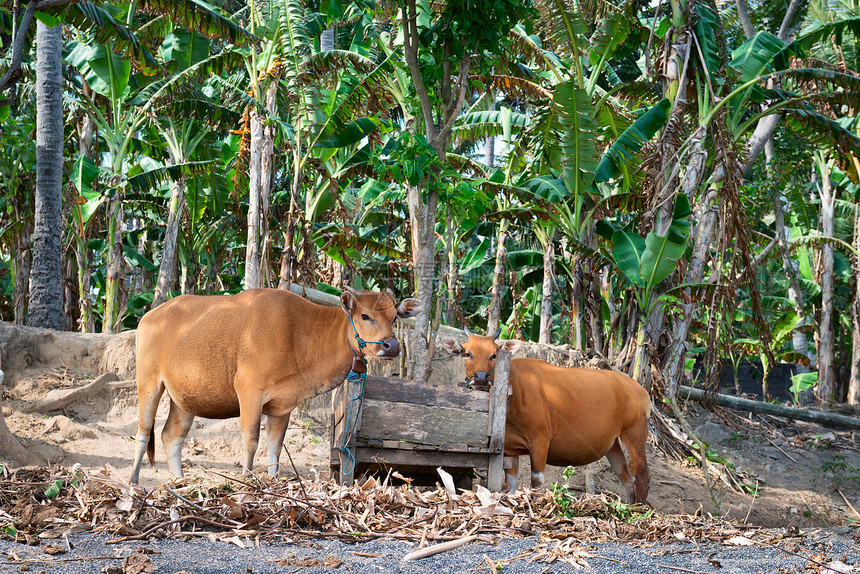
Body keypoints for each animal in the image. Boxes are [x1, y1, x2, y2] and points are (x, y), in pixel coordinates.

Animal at [130, 288, 420, 486]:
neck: (300, 334)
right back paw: (133, 482)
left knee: (171, 437)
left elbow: (275, 448)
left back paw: (180, 483)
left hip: (185, 398)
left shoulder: (282, 406)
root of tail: (148, 317)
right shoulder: (249, 392)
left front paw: (274, 482)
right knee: (144, 432)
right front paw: (247, 481)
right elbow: (251, 441)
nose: (392, 346)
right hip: (148, 382)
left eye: (394, 317)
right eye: (365, 315)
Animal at [444, 330, 652, 506]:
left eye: (493, 355)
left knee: (641, 475)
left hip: (634, 433)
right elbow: (510, 483)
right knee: (627, 478)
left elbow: (537, 481)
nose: (480, 378)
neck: (515, 390)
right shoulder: (509, 449)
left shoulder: (540, 441)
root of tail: (642, 390)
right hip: (613, 445)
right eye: (467, 354)